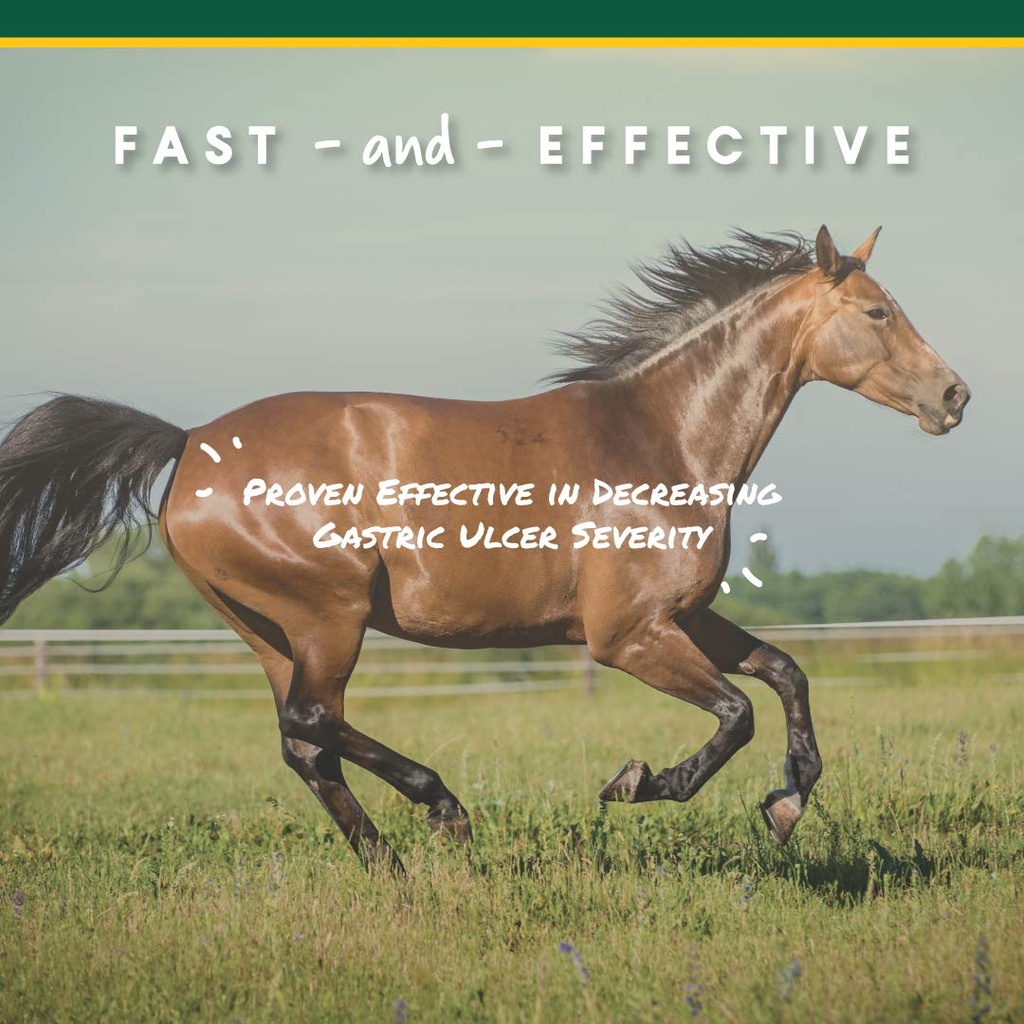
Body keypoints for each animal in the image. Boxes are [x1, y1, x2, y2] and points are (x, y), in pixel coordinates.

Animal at [0, 225, 970, 873]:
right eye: (878, 311)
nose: (955, 396)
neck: (660, 438)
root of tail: (192, 439)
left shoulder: (684, 617)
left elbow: (786, 676)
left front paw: (786, 804)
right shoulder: (628, 637)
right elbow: (737, 714)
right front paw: (638, 782)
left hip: (267, 630)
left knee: (304, 744)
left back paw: (389, 866)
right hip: (326, 615)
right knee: (313, 724)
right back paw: (444, 813)